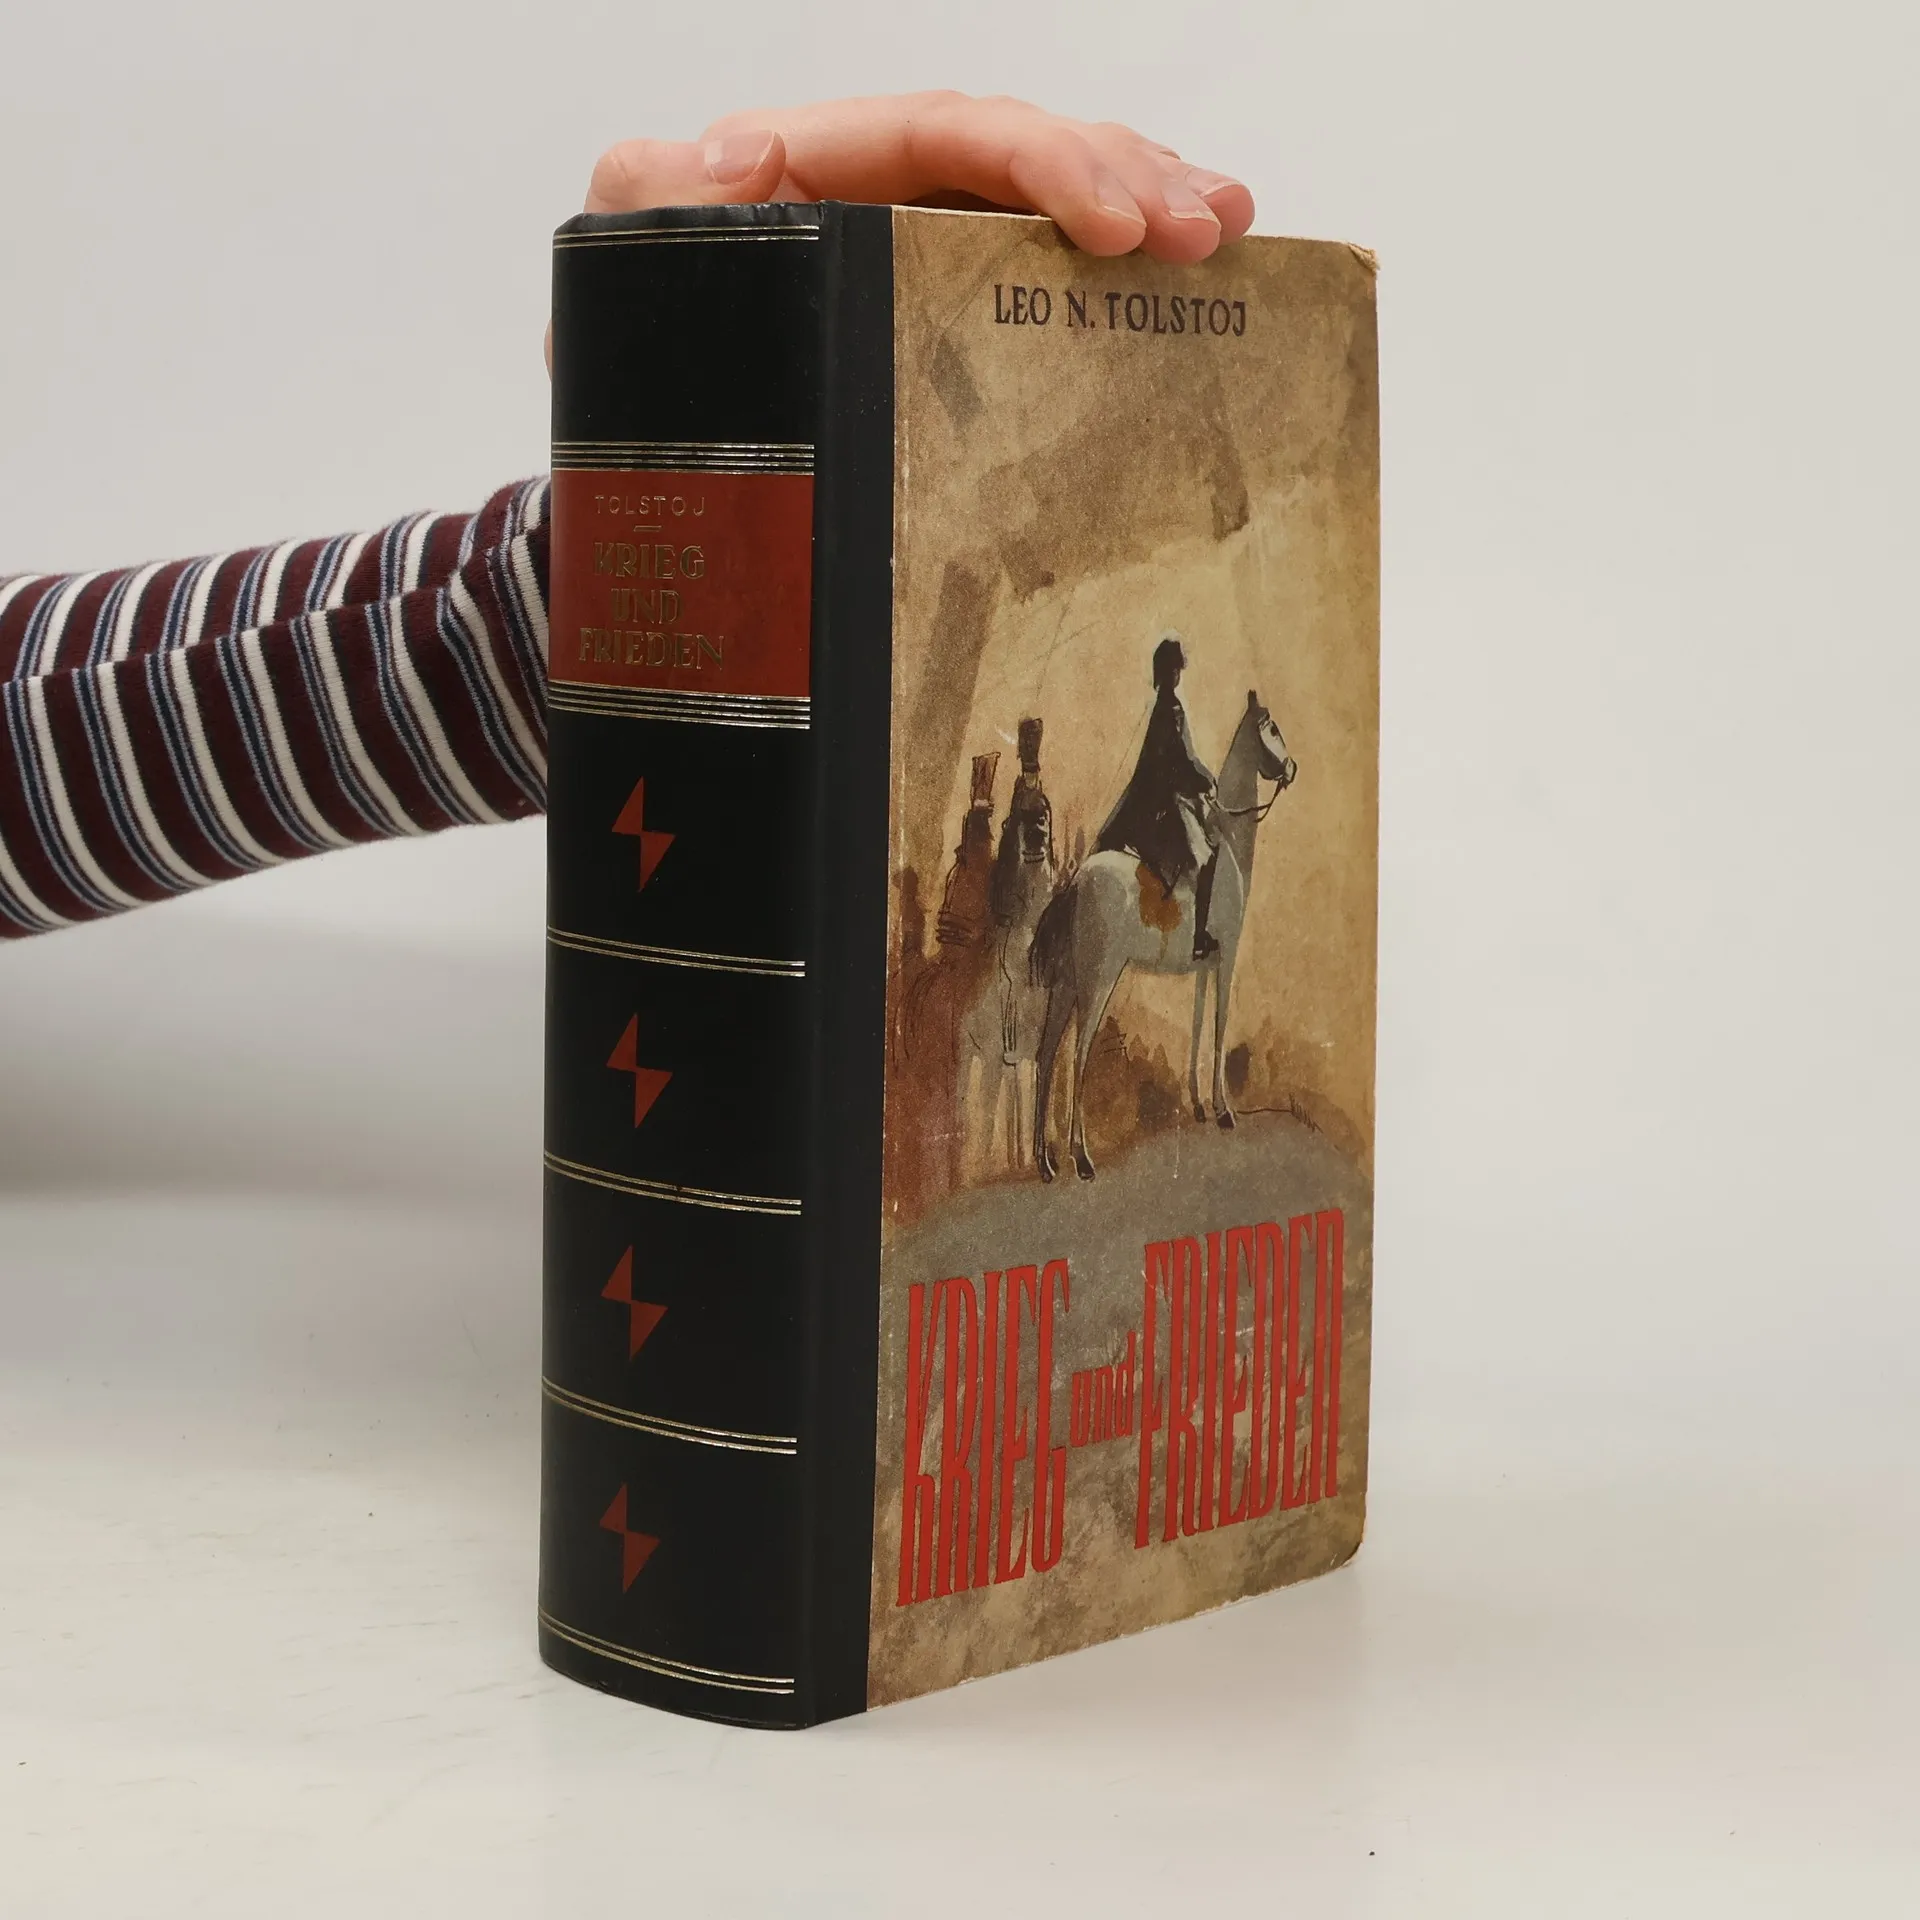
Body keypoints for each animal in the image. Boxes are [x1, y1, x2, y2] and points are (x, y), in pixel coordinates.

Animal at [1028, 691, 1296, 1183]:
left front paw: (1198, 1105)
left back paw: (1045, 1162)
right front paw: (1223, 1110)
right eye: (1271, 727)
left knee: (1046, 1053)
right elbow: (1219, 1025)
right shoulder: (1228, 958)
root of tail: (1075, 883)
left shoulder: (1205, 964)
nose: (1291, 769)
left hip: (1067, 983)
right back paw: (1081, 1158)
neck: (1227, 845)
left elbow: (1196, 1025)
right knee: (1077, 1053)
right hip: (1098, 981)